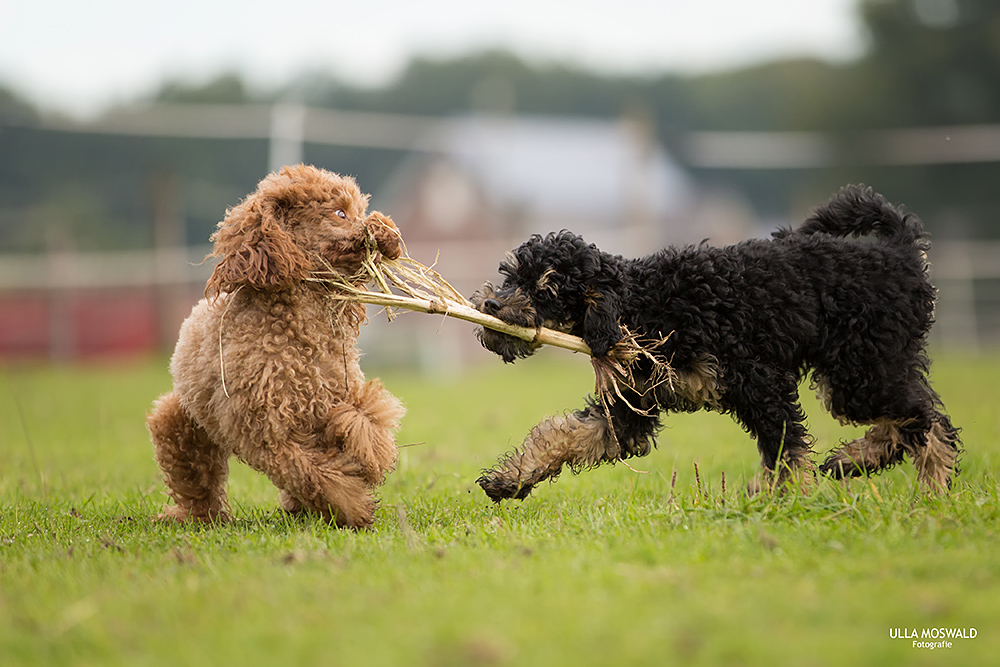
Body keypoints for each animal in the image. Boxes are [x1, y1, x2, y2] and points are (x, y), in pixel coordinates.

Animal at [146, 164, 404, 528]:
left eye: (358, 211)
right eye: (340, 213)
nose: (386, 232)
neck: (298, 329)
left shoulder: (337, 396)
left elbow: (364, 420)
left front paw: (371, 460)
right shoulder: (267, 432)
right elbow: (312, 474)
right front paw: (353, 508)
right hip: (185, 426)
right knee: (195, 477)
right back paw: (200, 516)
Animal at [472, 184, 964, 500]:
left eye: (545, 289)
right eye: (510, 274)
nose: (491, 305)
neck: (642, 306)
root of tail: (901, 250)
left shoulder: (758, 381)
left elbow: (785, 447)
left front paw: (785, 499)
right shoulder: (632, 408)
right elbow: (565, 435)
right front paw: (510, 479)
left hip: (859, 370)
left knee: (925, 418)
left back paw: (931, 487)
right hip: (866, 369)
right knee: (915, 416)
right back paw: (854, 462)